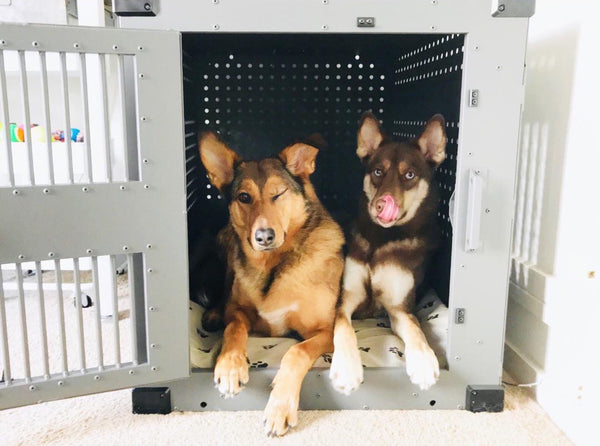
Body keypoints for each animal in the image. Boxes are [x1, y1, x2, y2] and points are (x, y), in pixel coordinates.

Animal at [200, 132, 344, 436]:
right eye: (244, 197)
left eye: (278, 194)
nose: (263, 236)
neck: (273, 266)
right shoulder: (239, 312)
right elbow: (234, 328)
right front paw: (229, 367)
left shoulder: (325, 331)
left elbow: (296, 351)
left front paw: (280, 407)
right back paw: (214, 313)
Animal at [328, 112, 446, 394]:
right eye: (378, 171)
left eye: (410, 174)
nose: (381, 204)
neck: (381, 239)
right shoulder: (345, 299)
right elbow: (344, 330)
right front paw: (347, 368)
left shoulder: (399, 308)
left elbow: (416, 330)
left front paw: (424, 362)